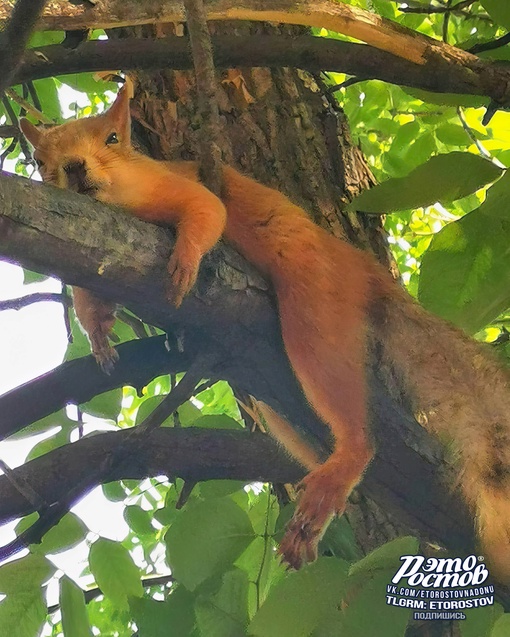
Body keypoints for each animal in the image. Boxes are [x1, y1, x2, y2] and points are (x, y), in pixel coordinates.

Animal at [20, 87, 510, 580]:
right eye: (41, 160)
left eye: (113, 138)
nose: (73, 168)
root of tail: (364, 269)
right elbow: (88, 291)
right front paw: (99, 329)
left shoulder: (173, 184)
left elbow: (206, 211)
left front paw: (185, 259)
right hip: (274, 402)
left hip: (315, 298)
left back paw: (346, 461)